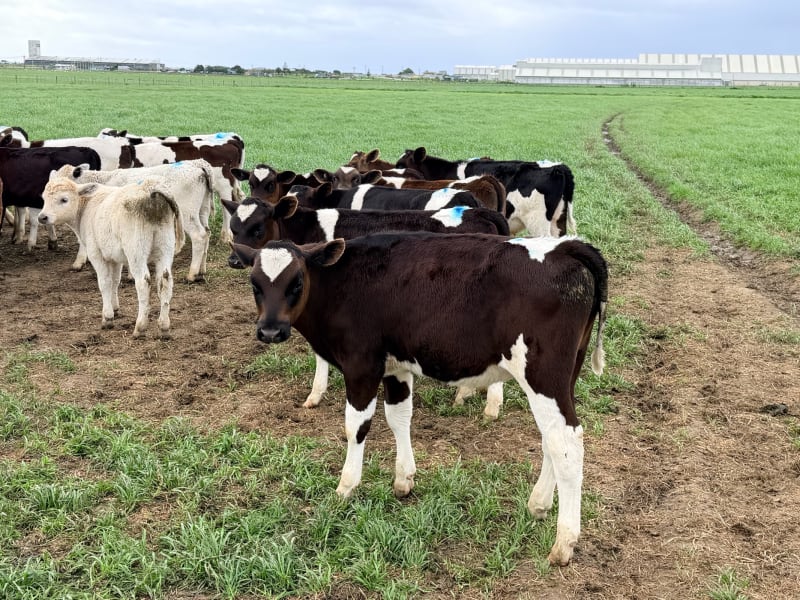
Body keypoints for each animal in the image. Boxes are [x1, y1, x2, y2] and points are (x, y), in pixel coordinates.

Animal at [39, 175, 184, 339]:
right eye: (44, 198)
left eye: (64, 199)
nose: (42, 217)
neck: (85, 208)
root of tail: (149, 188)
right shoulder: (115, 257)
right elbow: (115, 281)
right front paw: (115, 308)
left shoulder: (96, 253)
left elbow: (105, 283)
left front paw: (107, 317)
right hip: (165, 247)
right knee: (165, 281)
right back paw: (164, 327)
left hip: (136, 250)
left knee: (143, 283)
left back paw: (140, 327)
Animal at [54, 160, 216, 281]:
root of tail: (197, 164)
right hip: (203, 210)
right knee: (207, 233)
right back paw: (202, 270)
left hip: (187, 213)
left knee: (199, 236)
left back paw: (192, 274)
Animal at [223, 195, 511, 414]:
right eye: (234, 228)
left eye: (258, 228)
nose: (234, 260)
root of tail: (481, 211)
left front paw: (315, 394)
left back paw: (489, 405)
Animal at [232, 231, 608, 567]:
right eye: (255, 285)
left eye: (296, 282)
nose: (270, 331)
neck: (343, 283)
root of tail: (565, 247)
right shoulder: (395, 367)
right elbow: (399, 417)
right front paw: (404, 479)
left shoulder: (361, 365)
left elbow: (356, 427)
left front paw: (346, 486)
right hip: (564, 378)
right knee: (552, 439)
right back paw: (539, 503)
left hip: (543, 377)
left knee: (566, 443)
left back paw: (564, 543)